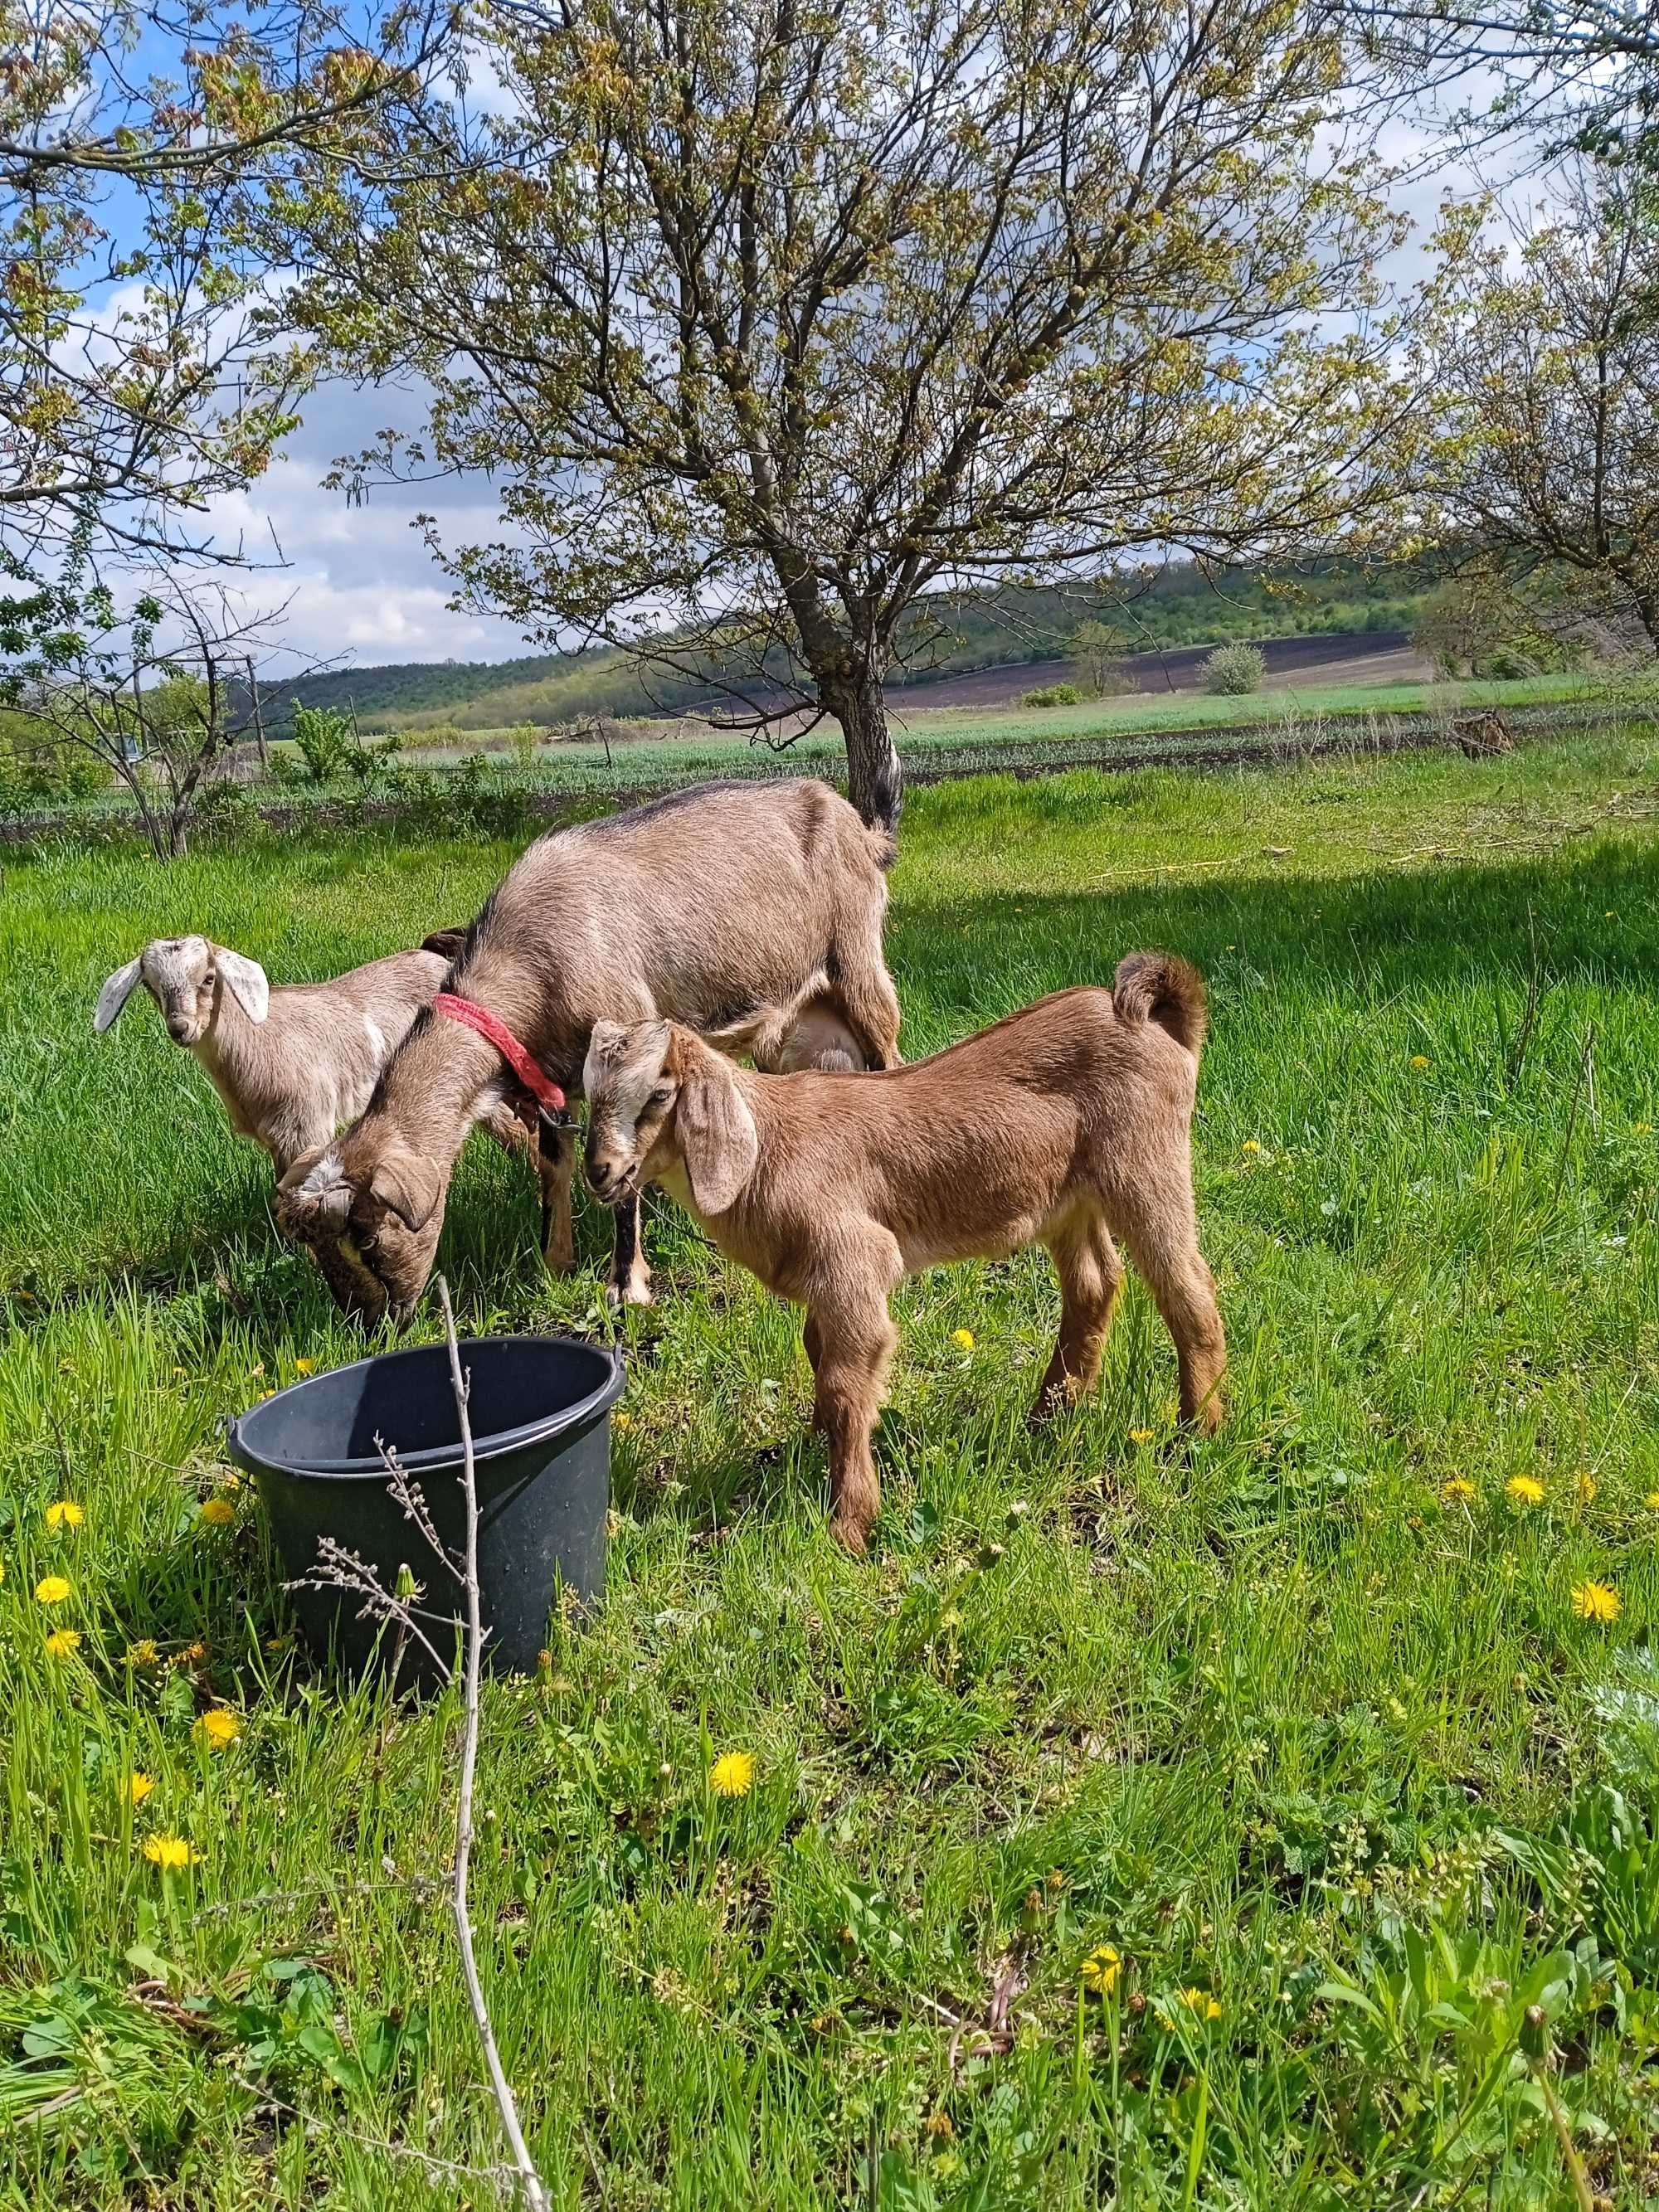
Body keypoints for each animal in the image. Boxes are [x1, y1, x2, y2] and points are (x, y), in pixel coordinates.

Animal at [94, 929, 562, 1300]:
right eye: (152, 987)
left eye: (209, 978)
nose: (181, 1029)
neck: (260, 1043)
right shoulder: (279, 1140)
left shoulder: (306, 1126)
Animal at [280, 783, 902, 1318]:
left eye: (367, 1236)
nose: (369, 1323)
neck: (531, 959)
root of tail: (859, 826)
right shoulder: (551, 1082)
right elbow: (553, 1167)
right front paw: (555, 1263)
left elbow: (616, 1176)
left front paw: (627, 1286)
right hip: (797, 1025)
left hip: (858, 961)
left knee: (888, 1053)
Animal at [579, 955, 1221, 1557]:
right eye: (590, 1096)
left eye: (660, 1094)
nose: (600, 1172)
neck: (766, 1151)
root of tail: (1164, 1023)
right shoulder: (825, 1284)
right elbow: (817, 1354)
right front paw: (811, 1445)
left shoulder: (854, 1259)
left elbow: (846, 1384)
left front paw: (850, 1524)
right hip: (1068, 1200)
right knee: (1094, 1282)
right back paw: (1051, 1412)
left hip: (1143, 1163)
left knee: (1187, 1287)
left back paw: (1198, 1429)